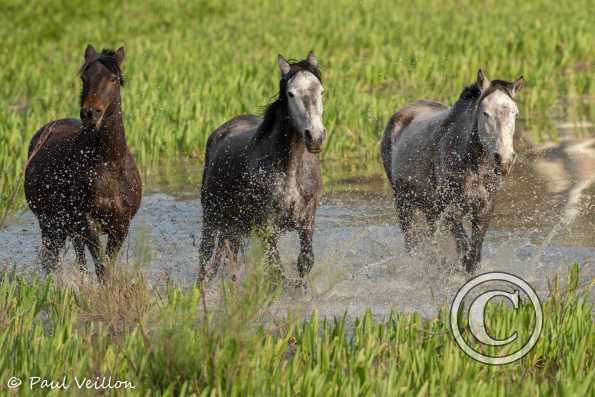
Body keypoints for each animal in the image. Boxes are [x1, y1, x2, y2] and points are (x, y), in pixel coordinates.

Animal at [25, 44, 144, 278]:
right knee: (52, 259)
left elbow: (107, 265)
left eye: (113, 78)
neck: (109, 164)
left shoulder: (120, 225)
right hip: (50, 223)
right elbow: (101, 267)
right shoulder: (86, 222)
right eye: (84, 77)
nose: (90, 113)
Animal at [199, 52, 326, 282]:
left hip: (234, 227)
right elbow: (277, 271)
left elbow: (305, 263)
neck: (290, 171)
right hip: (212, 218)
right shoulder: (266, 227)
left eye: (321, 91)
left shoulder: (307, 221)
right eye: (291, 94)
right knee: (205, 258)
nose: (315, 137)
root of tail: (220, 131)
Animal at [382, 69, 528, 270]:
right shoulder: (451, 210)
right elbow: (463, 248)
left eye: (516, 114)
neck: (473, 166)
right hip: (404, 203)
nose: (504, 159)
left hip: (430, 209)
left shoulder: (484, 210)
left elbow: (474, 254)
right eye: (485, 113)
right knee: (412, 243)